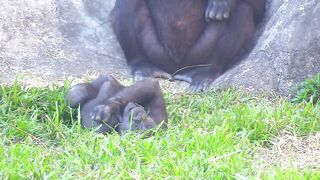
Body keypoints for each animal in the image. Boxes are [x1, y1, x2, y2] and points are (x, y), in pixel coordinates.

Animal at [111, 0, 266, 91]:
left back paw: (207, 71)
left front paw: (222, 2)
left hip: (198, 54)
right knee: (128, 3)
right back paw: (142, 64)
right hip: (156, 52)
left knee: (242, 9)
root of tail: (176, 68)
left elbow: (258, 9)